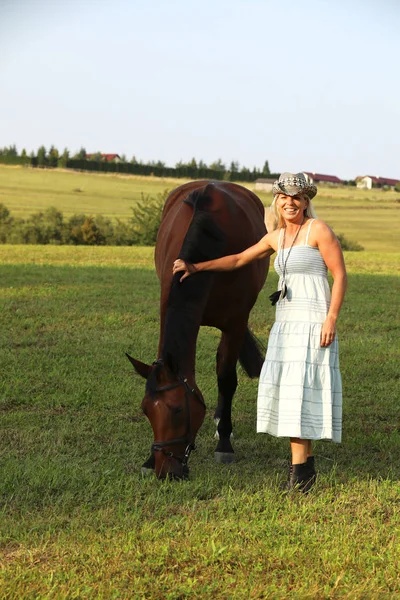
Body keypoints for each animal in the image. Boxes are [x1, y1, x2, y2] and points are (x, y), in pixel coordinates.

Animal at [126, 180, 270, 480]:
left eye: (178, 410)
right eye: (146, 411)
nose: (165, 471)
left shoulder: (235, 323)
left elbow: (226, 379)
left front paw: (225, 443)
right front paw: (148, 460)